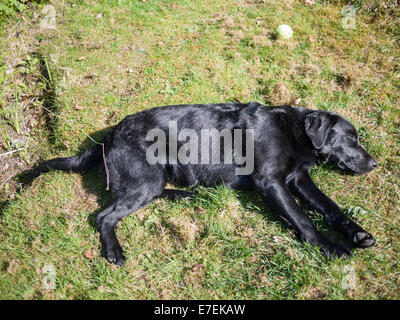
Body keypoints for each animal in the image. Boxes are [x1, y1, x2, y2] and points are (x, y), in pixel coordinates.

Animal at [32, 102, 376, 264]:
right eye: (350, 136)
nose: (374, 163)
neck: (293, 130)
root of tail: (108, 136)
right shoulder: (270, 181)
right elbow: (303, 218)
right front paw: (330, 247)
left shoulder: (299, 178)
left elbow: (330, 208)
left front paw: (358, 234)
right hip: (146, 180)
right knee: (104, 216)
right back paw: (115, 251)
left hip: (153, 181)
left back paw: (187, 196)